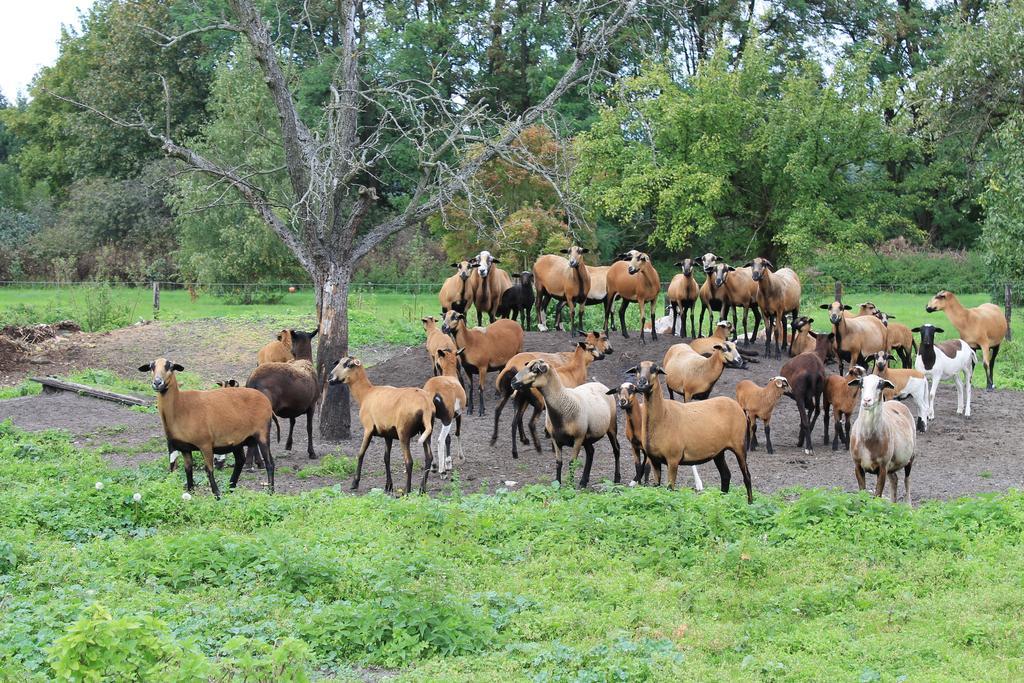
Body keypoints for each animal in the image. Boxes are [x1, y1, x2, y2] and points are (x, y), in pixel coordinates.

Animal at [141, 358, 276, 497]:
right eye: (151, 367)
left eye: (170, 366)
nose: (157, 383)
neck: (180, 407)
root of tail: (265, 399)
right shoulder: (185, 448)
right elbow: (188, 470)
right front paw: (191, 492)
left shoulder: (205, 444)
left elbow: (209, 470)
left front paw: (217, 495)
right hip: (238, 441)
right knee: (240, 461)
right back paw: (230, 488)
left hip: (262, 433)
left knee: (270, 463)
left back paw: (270, 492)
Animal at [327, 356, 436, 493]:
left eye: (348, 365)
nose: (330, 377)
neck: (366, 393)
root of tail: (425, 404)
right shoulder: (387, 434)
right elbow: (386, 458)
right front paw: (388, 486)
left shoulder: (368, 429)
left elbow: (361, 453)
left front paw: (354, 483)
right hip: (426, 430)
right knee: (429, 458)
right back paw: (422, 489)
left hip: (403, 432)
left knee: (409, 461)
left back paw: (407, 491)